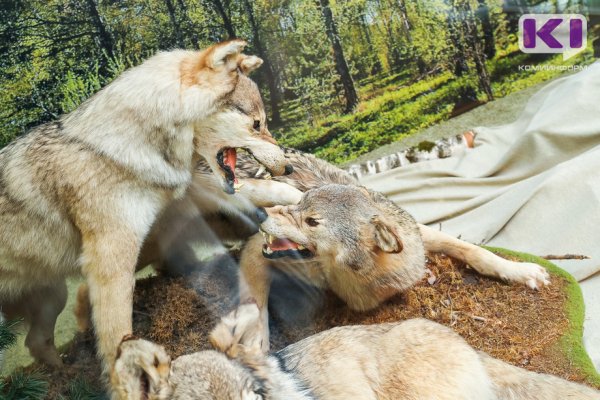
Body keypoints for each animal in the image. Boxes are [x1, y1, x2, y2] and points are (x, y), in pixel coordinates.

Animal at [0, 39, 292, 382]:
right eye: (257, 124)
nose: (287, 166)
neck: (122, 147)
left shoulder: (183, 196)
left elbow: (254, 191)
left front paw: (296, 196)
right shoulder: (111, 264)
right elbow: (118, 337)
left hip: (54, 296)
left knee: (36, 341)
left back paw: (65, 375)